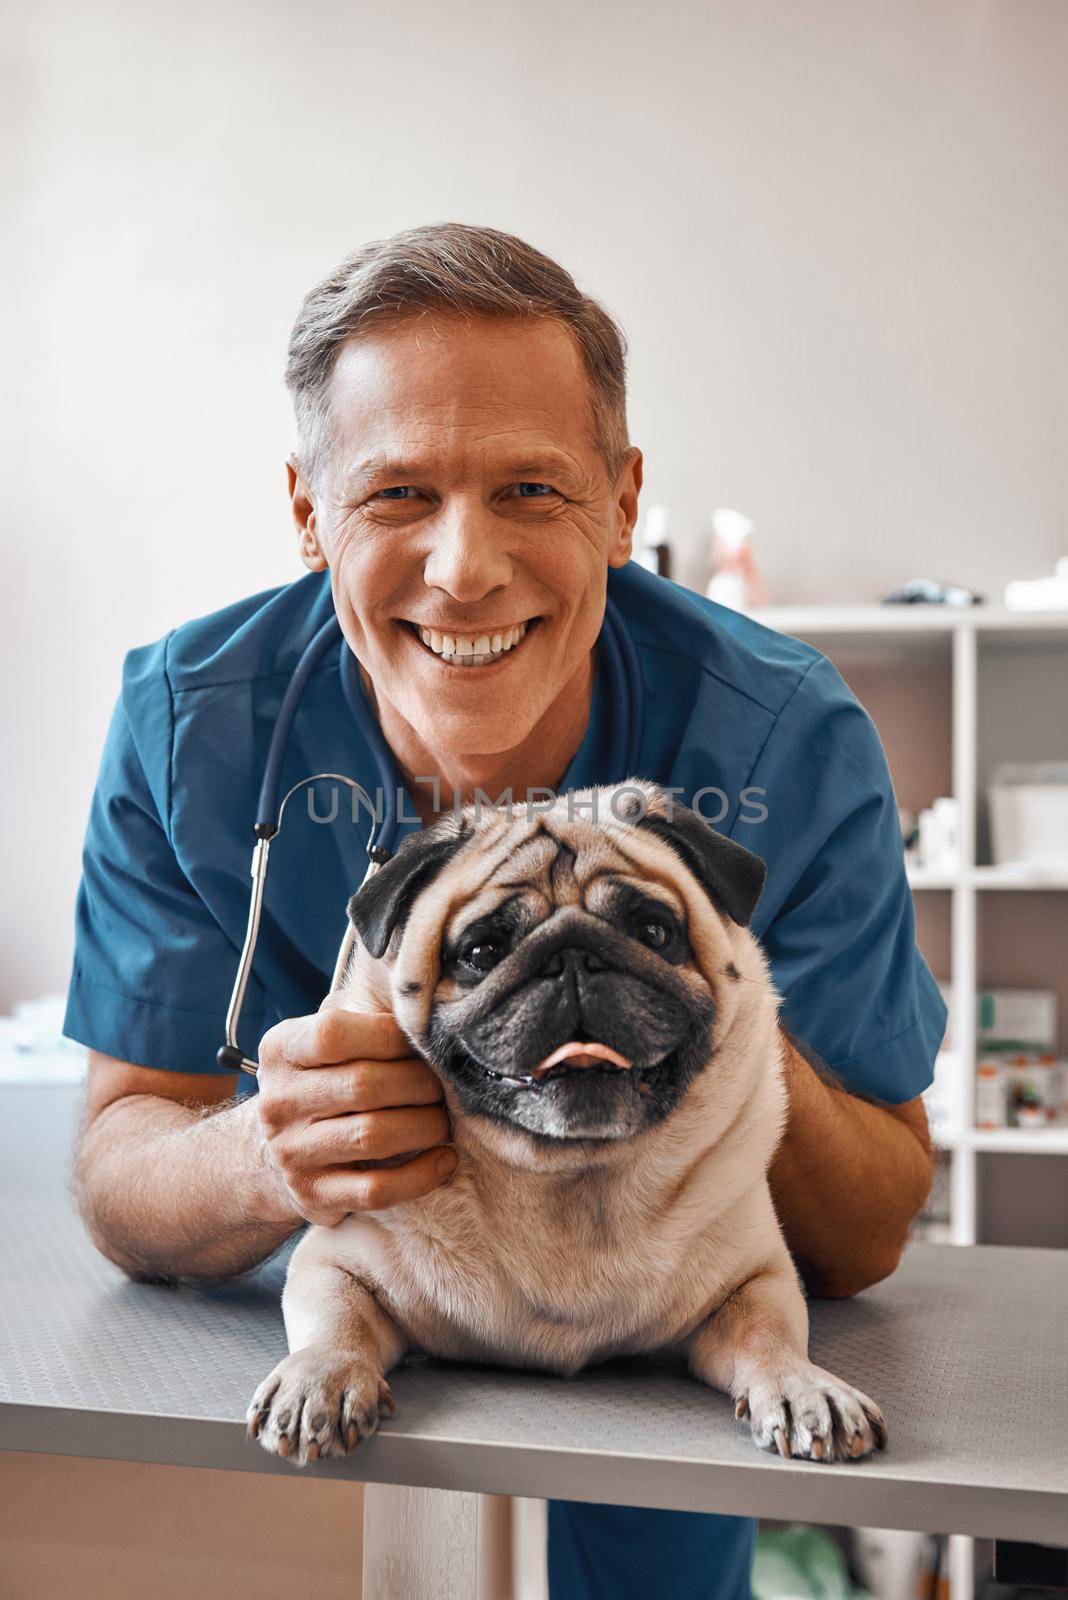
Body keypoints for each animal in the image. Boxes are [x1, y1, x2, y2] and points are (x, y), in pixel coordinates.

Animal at [247, 780, 882, 1465]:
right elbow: (335, 1323)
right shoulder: (335, 1264)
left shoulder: (755, 1281)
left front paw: (803, 1388)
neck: (567, 1181)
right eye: (483, 951)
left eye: (654, 931)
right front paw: (320, 1379)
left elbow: (771, 1337)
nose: (573, 954)